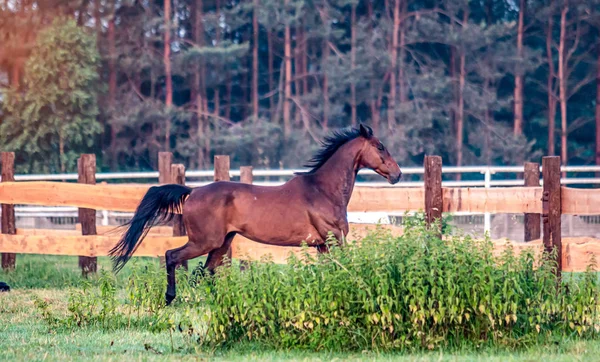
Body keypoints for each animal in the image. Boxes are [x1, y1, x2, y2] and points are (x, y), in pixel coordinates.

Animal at [110, 124, 400, 306]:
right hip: (205, 241)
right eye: (380, 146)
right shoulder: (334, 239)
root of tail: (193, 191)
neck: (322, 190)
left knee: (206, 272)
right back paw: (170, 297)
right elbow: (346, 268)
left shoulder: (322, 246)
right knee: (173, 256)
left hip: (221, 243)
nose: (397, 175)